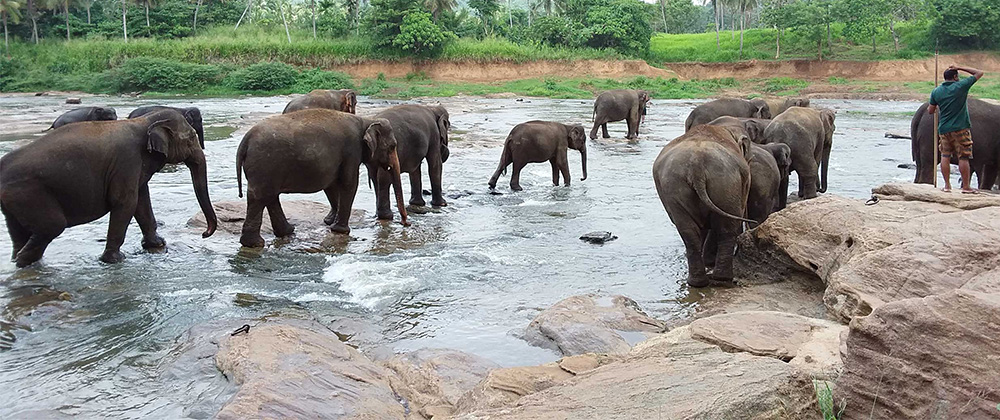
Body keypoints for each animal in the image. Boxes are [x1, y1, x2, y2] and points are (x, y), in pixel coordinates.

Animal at [1, 109, 218, 267]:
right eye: (191, 138)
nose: (204, 234)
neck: (143, 122)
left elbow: (141, 200)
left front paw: (157, 244)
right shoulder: (126, 161)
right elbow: (126, 202)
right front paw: (115, 260)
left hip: (14, 201)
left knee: (19, 232)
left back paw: (18, 261)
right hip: (29, 194)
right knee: (52, 226)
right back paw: (23, 263)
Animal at [235, 109, 408, 247]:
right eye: (392, 146)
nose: (405, 223)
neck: (366, 120)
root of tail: (245, 140)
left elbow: (331, 183)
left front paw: (331, 222)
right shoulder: (351, 151)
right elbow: (349, 183)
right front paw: (341, 230)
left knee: (270, 196)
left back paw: (288, 231)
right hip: (265, 165)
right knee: (260, 197)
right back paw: (255, 243)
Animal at [653, 124, 755, 288]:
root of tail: (696, 167)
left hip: (675, 187)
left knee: (688, 231)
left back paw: (697, 282)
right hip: (727, 184)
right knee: (726, 228)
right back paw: (722, 278)